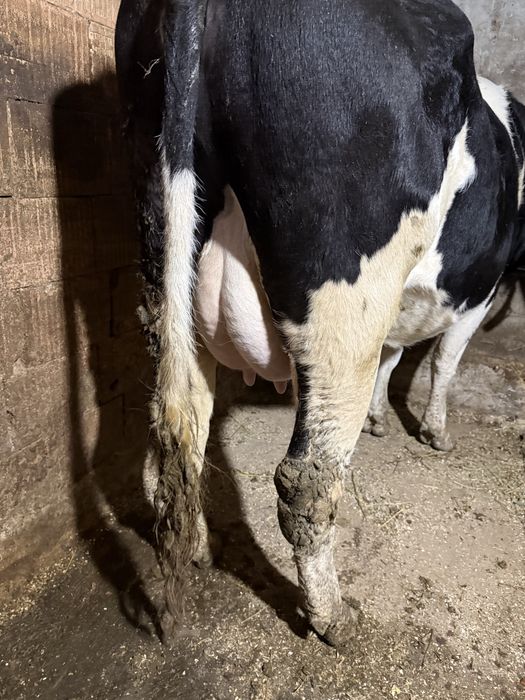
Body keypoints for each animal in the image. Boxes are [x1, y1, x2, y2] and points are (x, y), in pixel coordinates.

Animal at [115, 0, 525, 647]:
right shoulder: (478, 288)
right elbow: (443, 361)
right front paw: (435, 432)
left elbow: (395, 356)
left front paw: (382, 418)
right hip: (345, 296)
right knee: (306, 477)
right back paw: (333, 617)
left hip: (164, 257)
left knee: (177, 431)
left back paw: (199, 547)